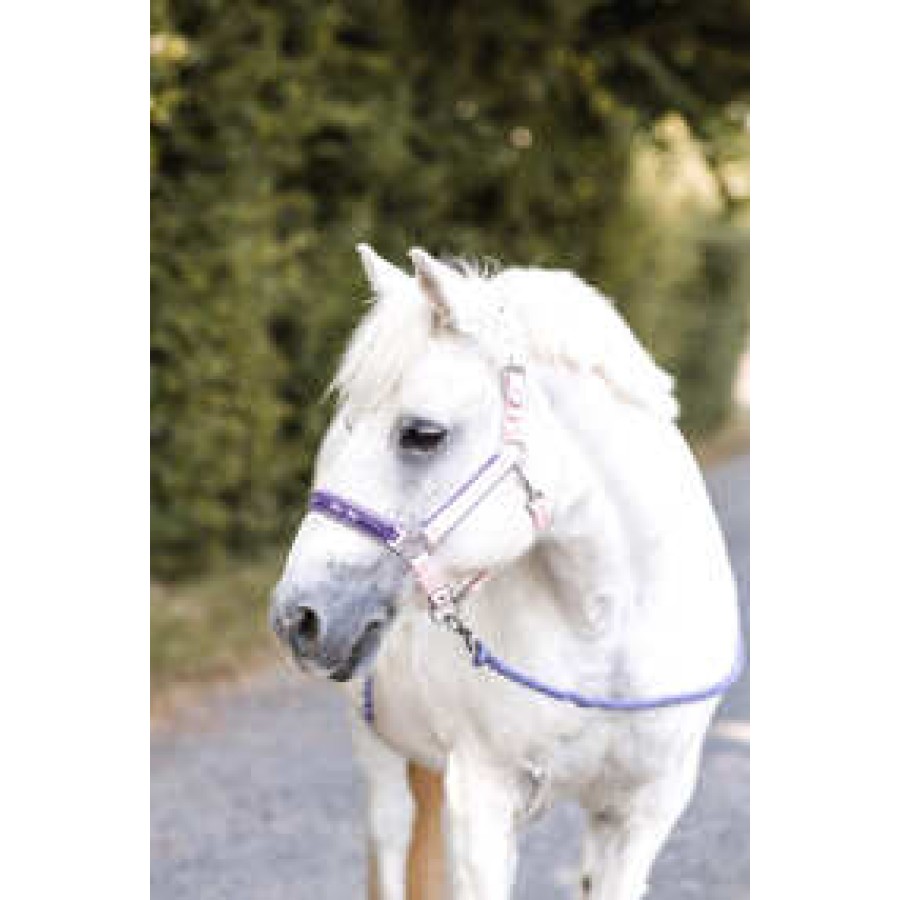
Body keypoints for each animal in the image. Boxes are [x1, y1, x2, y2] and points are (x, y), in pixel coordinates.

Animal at [269, 245, 742, 900]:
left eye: (422, 434)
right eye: (346, 428)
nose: (299, 617)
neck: (605, 630)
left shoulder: (639, 818)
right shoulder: (485, 800)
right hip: (379, 749)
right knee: (392, 840)